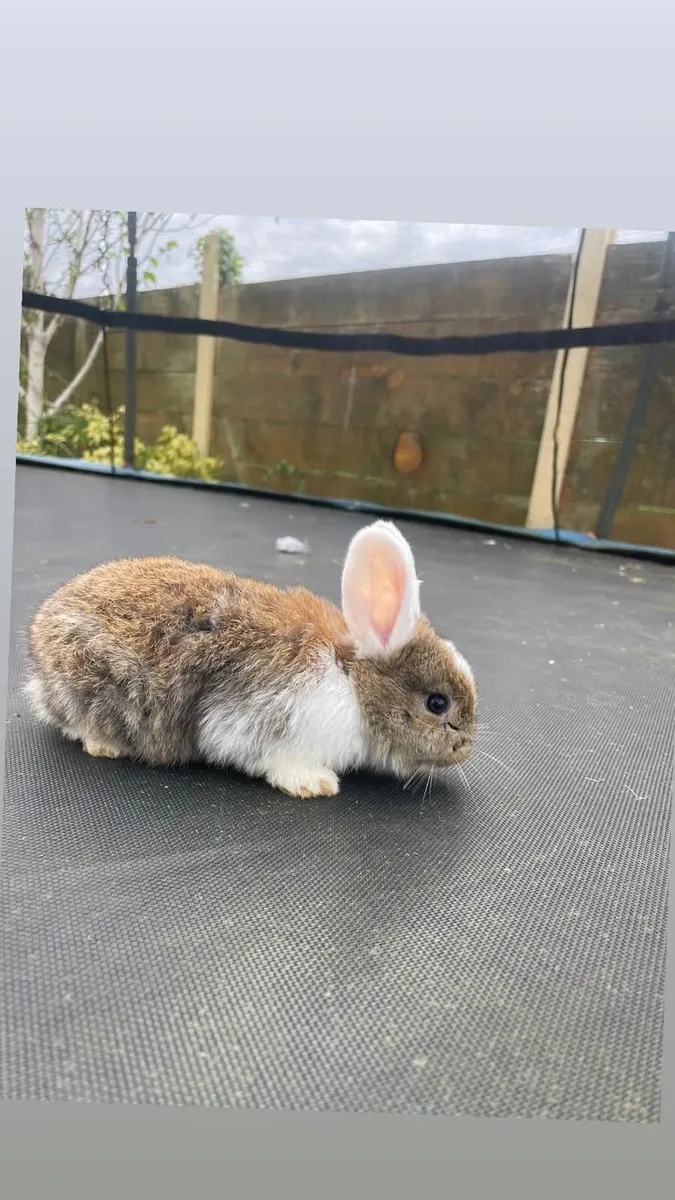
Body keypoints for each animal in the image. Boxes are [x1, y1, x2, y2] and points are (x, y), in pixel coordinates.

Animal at [25, 520, 477, 798]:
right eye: (437, 703)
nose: (465, 749)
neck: (351, 680)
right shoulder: (256, 719)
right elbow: (269, 757)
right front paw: (315, 784)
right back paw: (105, 745)